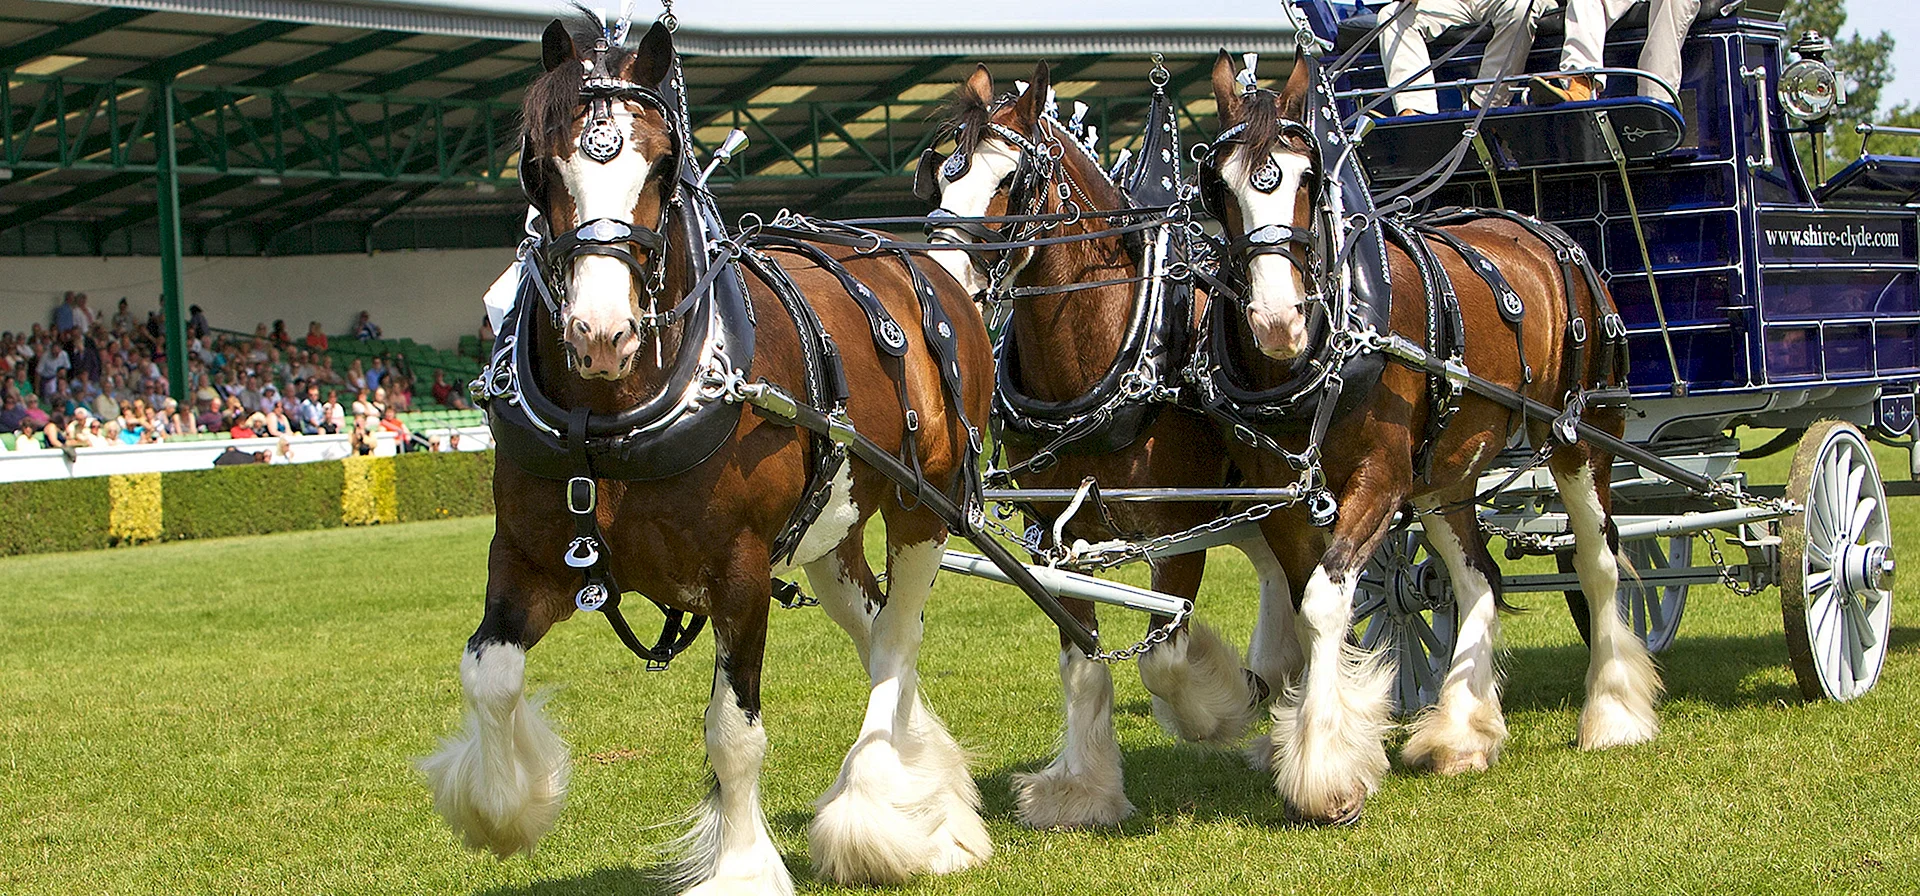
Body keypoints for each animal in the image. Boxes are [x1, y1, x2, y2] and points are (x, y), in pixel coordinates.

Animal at [416, 17, 990, 894]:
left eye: (664, 165)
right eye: (536, 166)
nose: (601, 334)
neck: (611, 421)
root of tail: (927, 264)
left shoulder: (740, 571)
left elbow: (733, 732)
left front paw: (743, 864)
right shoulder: (527, 556)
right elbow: (489, 676)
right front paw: (505, 809)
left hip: (925, 505)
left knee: (897, 642)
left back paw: (882, 812)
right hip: (832, 532)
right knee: (876, 632)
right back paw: (930, 798)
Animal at [925, 63, 1305, 832]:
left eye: (1013, 179)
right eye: (941, 172)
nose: (946, 281)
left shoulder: (1174, 526)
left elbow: (1164, 658)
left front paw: (1220, 708)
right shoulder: (1049, 533)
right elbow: (1084, 660)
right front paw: (1085, 792)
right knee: (1276, 568)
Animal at [1198, 47, 1666, 821]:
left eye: (1307, 177)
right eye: (1220, 184)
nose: (1277, 320)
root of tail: (1549, 235)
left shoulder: (1380, 479)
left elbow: (1323, 604)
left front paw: (1325, 771)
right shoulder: (1285, 497)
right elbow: (1304, 607)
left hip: (1583, 436)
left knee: (1599, 562)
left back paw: (1612, 713)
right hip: (1445, 471)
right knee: (1478, 577)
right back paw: (1462, 730)